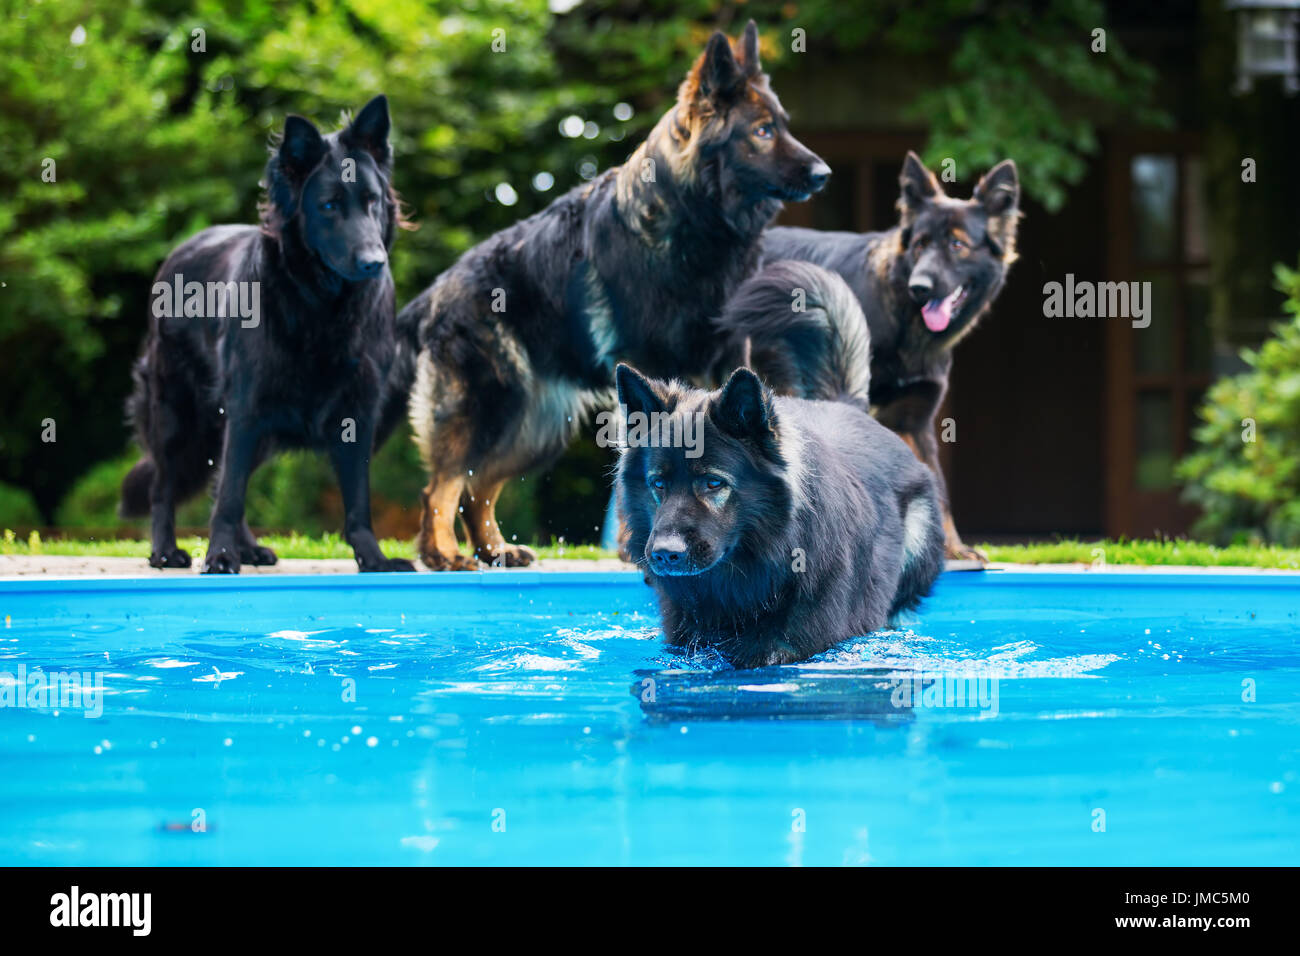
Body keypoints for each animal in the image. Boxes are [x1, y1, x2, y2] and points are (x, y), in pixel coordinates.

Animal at [118, 95, 410, 574]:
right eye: (329, 206)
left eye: (371, 201)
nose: (374, 262)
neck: (322, 306)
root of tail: (180, 250)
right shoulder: (247, 407)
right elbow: (230, 496)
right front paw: (219, 556)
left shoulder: (358, 412)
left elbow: (357, 501)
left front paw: (373, 558)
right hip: (177, 415)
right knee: (167, 486)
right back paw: (165, 551)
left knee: (219, 481)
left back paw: (248, 547)